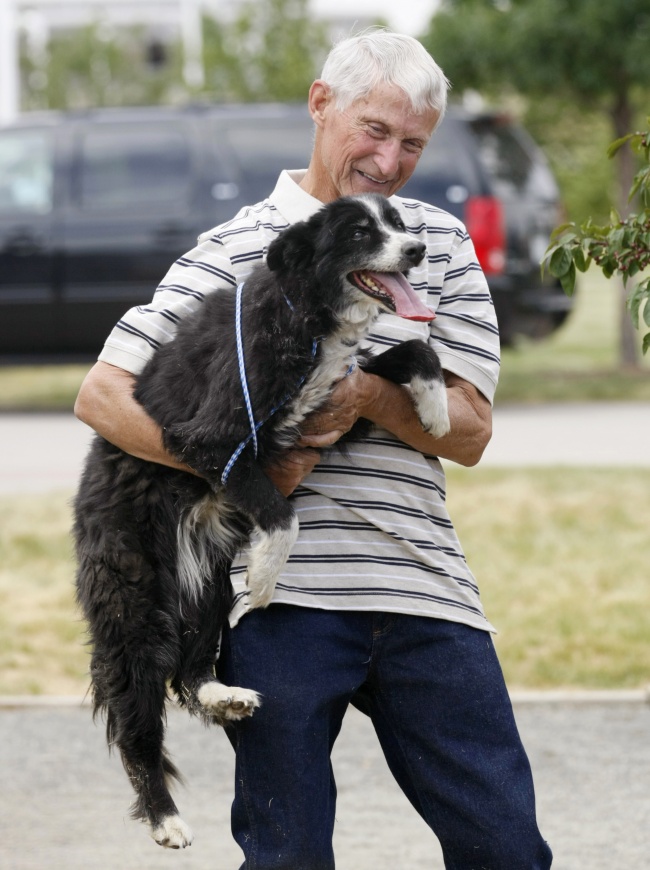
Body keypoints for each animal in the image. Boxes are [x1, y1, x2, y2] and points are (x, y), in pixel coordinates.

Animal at [73, 192, 448, 852]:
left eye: (399, 223)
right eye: (359, 232)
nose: (417, 250)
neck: (306, 313)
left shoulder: (333, 406)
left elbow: (412, 351)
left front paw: (436, 408)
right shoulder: (212, 440)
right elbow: (283, 515)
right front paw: (269, 579)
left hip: (202, 581)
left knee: (189, 668)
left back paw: (221, 695)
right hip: (136, 600)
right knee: (137, 713)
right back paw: (164, 816)